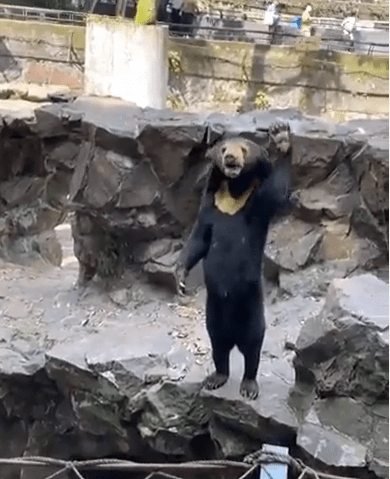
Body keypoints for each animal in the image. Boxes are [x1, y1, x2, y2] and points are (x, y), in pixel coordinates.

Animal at [176, 122, 292, 400]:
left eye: (243, 149)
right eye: (223, 149)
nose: (230, 159)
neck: (233, 192)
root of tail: (234, 336)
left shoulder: (257, 203)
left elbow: (278, 192)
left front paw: (281, 135)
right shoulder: (210, 204)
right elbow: (199, 239)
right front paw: (180, 279)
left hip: (250, 306)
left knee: (253, 345)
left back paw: (249, 386)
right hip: (213, 314)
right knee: (218, 345)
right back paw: (216, 377)